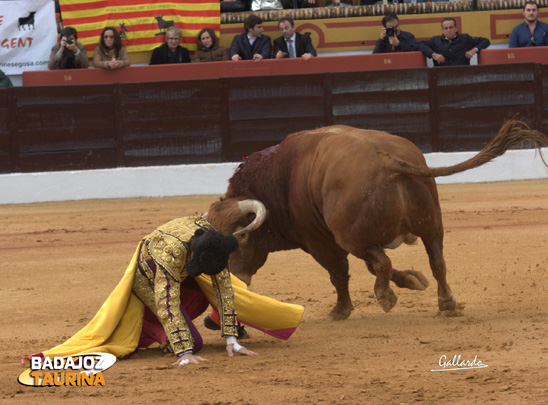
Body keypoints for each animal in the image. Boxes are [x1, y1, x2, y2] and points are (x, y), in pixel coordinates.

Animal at [207, 120, 548, 318]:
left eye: (240, 237)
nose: (232, 279)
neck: (279, 179)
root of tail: (386, 159)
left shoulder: (320, 242)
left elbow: (339, 273)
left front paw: (340, 311)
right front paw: (412, 279)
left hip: (349, 236)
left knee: (380, 263)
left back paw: (385, 297)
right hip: (431, 226)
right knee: (437, 261)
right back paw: (447, 303)